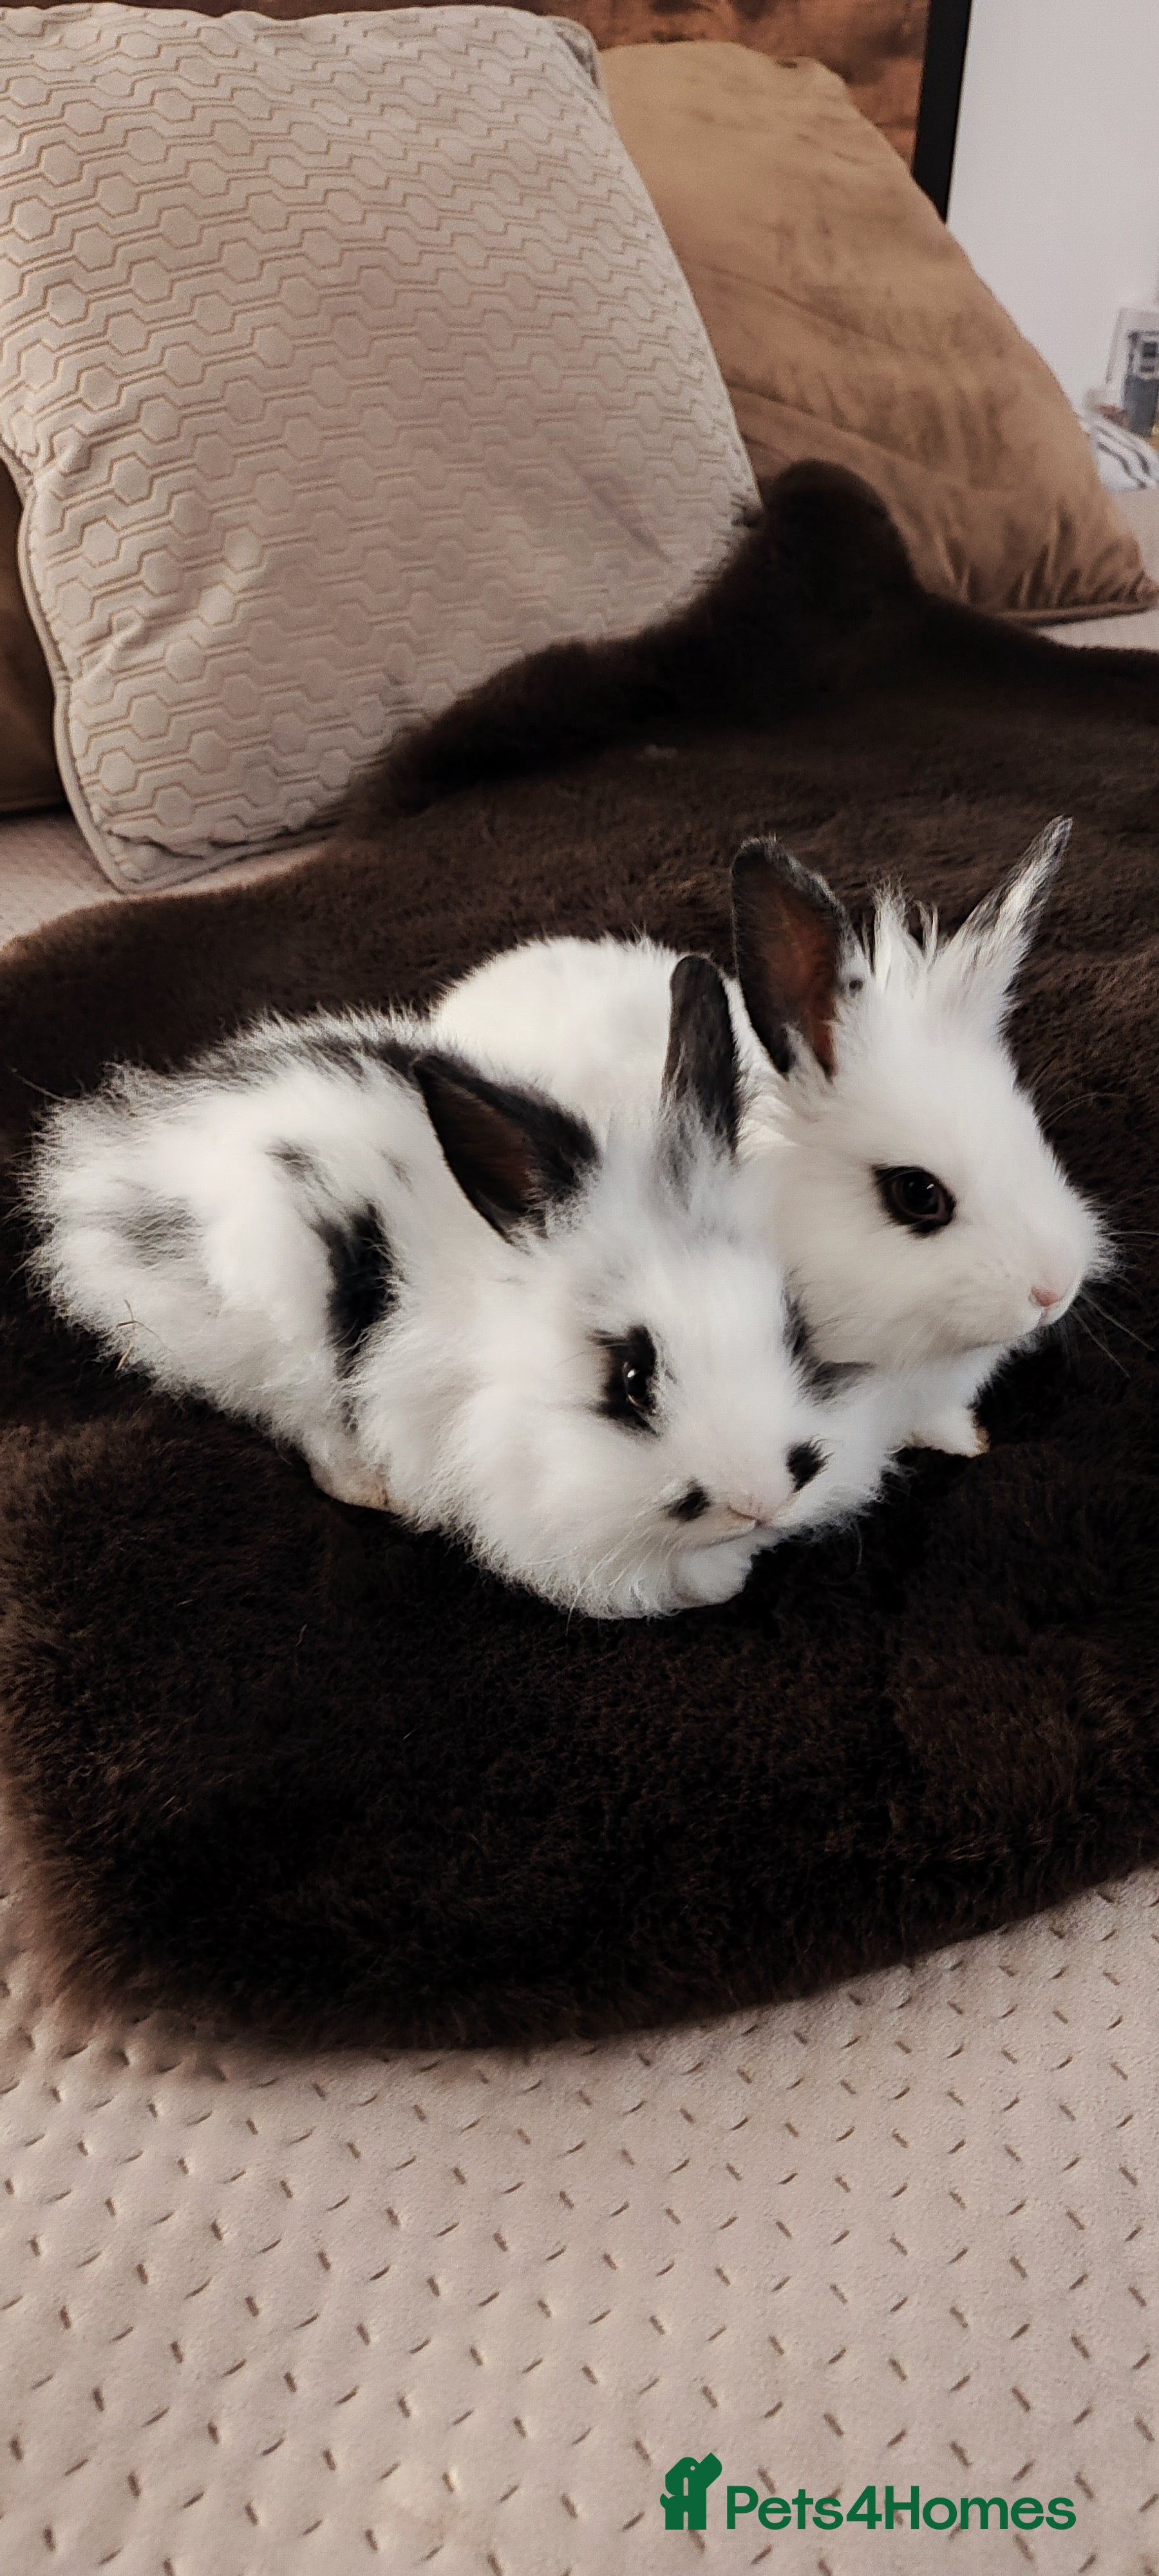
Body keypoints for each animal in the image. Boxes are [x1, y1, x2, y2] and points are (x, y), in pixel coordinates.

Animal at [27, 958, 899, 1621]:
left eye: (797, 1332)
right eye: (630, 1378)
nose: (760, 1500)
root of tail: (112, 1163)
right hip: (276, 1317)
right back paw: (375, 1488)